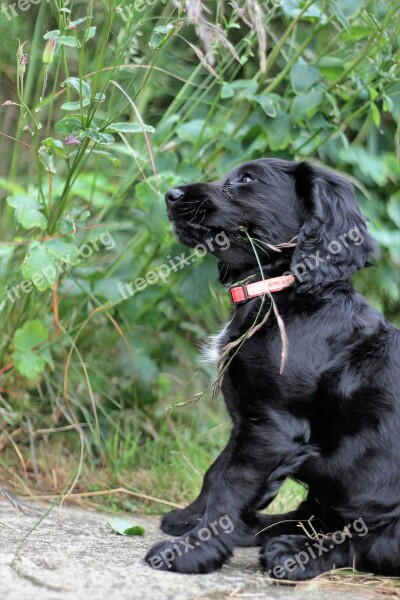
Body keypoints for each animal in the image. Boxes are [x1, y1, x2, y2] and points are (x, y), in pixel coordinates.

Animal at [145, 157, 400, 580]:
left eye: (247, 180)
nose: (170, 194)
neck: (283, 292)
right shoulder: (247, 421)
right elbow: (216, 472)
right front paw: (190, 518)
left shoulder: (273, 428)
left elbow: (230, 489)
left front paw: (189, 552)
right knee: (313, 515)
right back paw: (262, 529)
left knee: (368, 543)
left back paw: (294, 554)